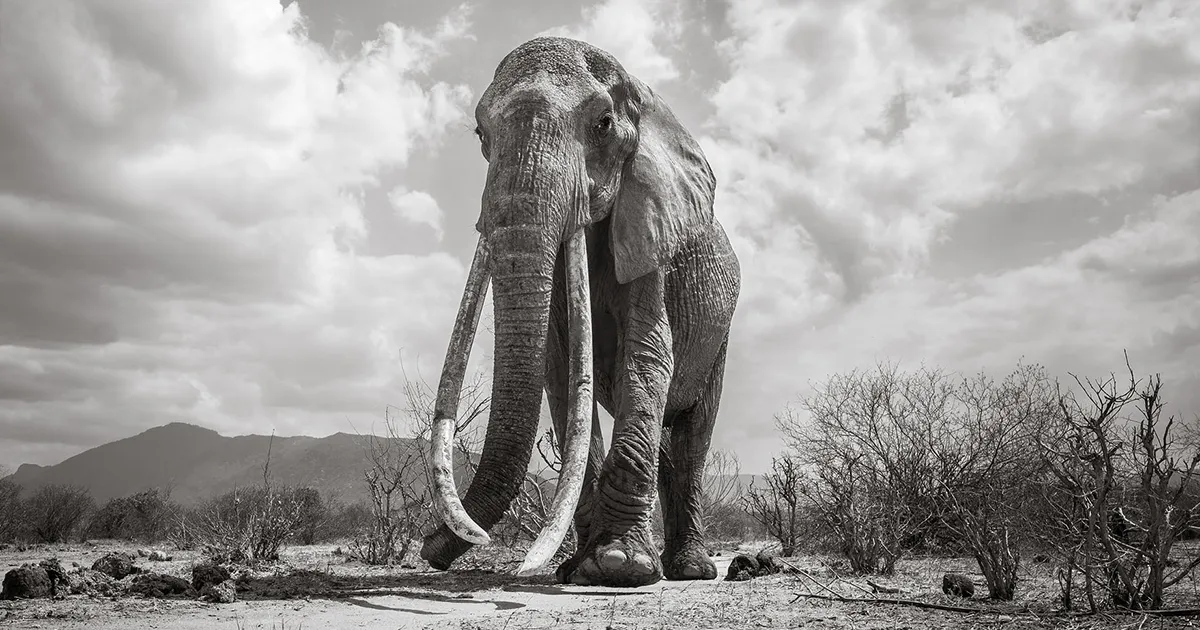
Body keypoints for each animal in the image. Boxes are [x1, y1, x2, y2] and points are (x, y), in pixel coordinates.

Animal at [418, 36, 741, 588]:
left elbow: (647, 353)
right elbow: (562, 370)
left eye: (603, 124)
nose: (427, 549)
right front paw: (579, 569)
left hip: (721, 334)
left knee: (693, 435)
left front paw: (620, 566)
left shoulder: (650, 228)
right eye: (481, 134)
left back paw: (690, 570)